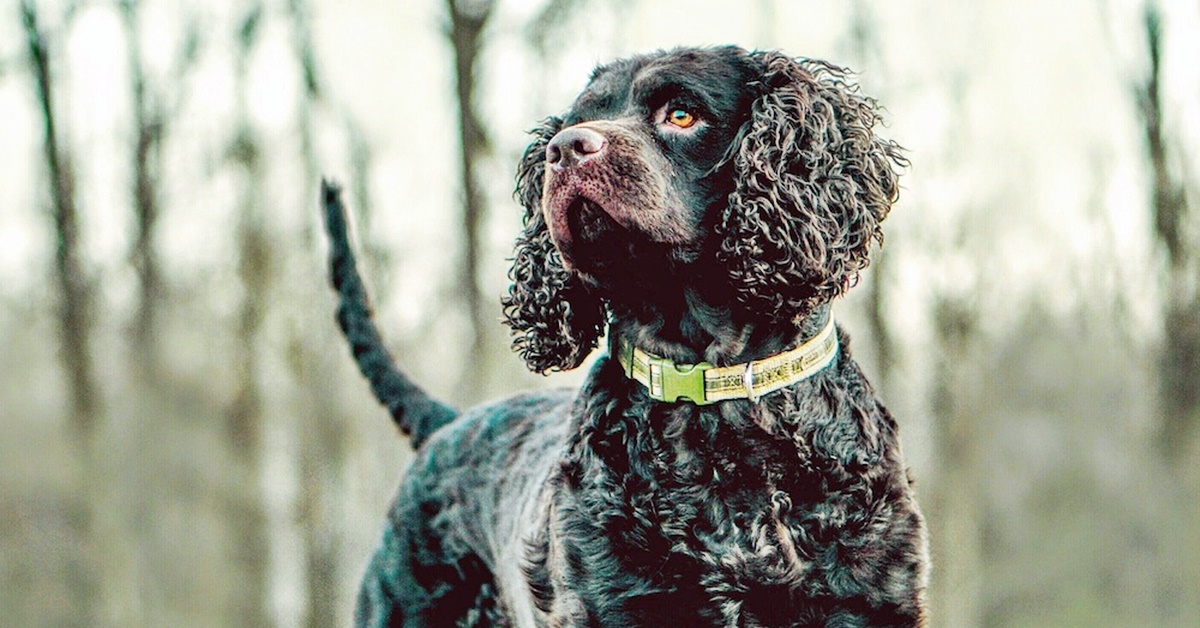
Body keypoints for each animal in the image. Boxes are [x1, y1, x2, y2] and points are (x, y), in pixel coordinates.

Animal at [324, 45, 931, 628]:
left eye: (681, 114)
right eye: (577, 120)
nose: (565, 150)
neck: (712, 392)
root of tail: (448, 423)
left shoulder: (866, 603)